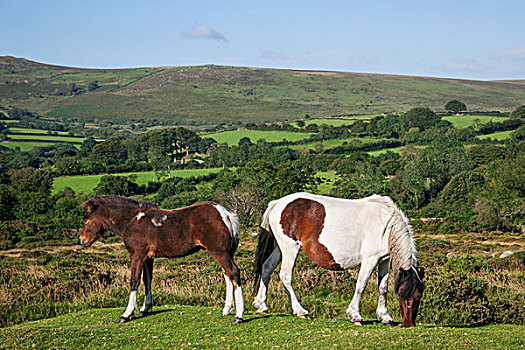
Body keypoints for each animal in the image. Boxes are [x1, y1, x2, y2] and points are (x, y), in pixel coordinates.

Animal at [80, 196, 246, 324]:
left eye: (86, 220)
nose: (82, 241)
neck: (132, 220)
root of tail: (225, 214)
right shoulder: (147, 258)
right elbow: (147, 280)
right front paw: (144, 309)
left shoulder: (136, 255)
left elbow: (134, 281)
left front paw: (127, 314)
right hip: (225, 252)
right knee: (227, 275)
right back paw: (227, 309)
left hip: (219, 251)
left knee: (233, 272)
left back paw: (239, 315)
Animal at [252, 193, 424, 326]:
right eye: (401, 293)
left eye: (419, 296)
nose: (408, 324)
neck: (386, 224)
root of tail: (277, 203)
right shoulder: (370, 259)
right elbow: (361, 285)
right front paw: (355, 316)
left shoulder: (384, 260)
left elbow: (383, 288)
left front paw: (385, 317)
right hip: (290, 248)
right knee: (285, 276)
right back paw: (300, 310)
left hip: (279, 248)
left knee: (266, 269)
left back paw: (262, 305)